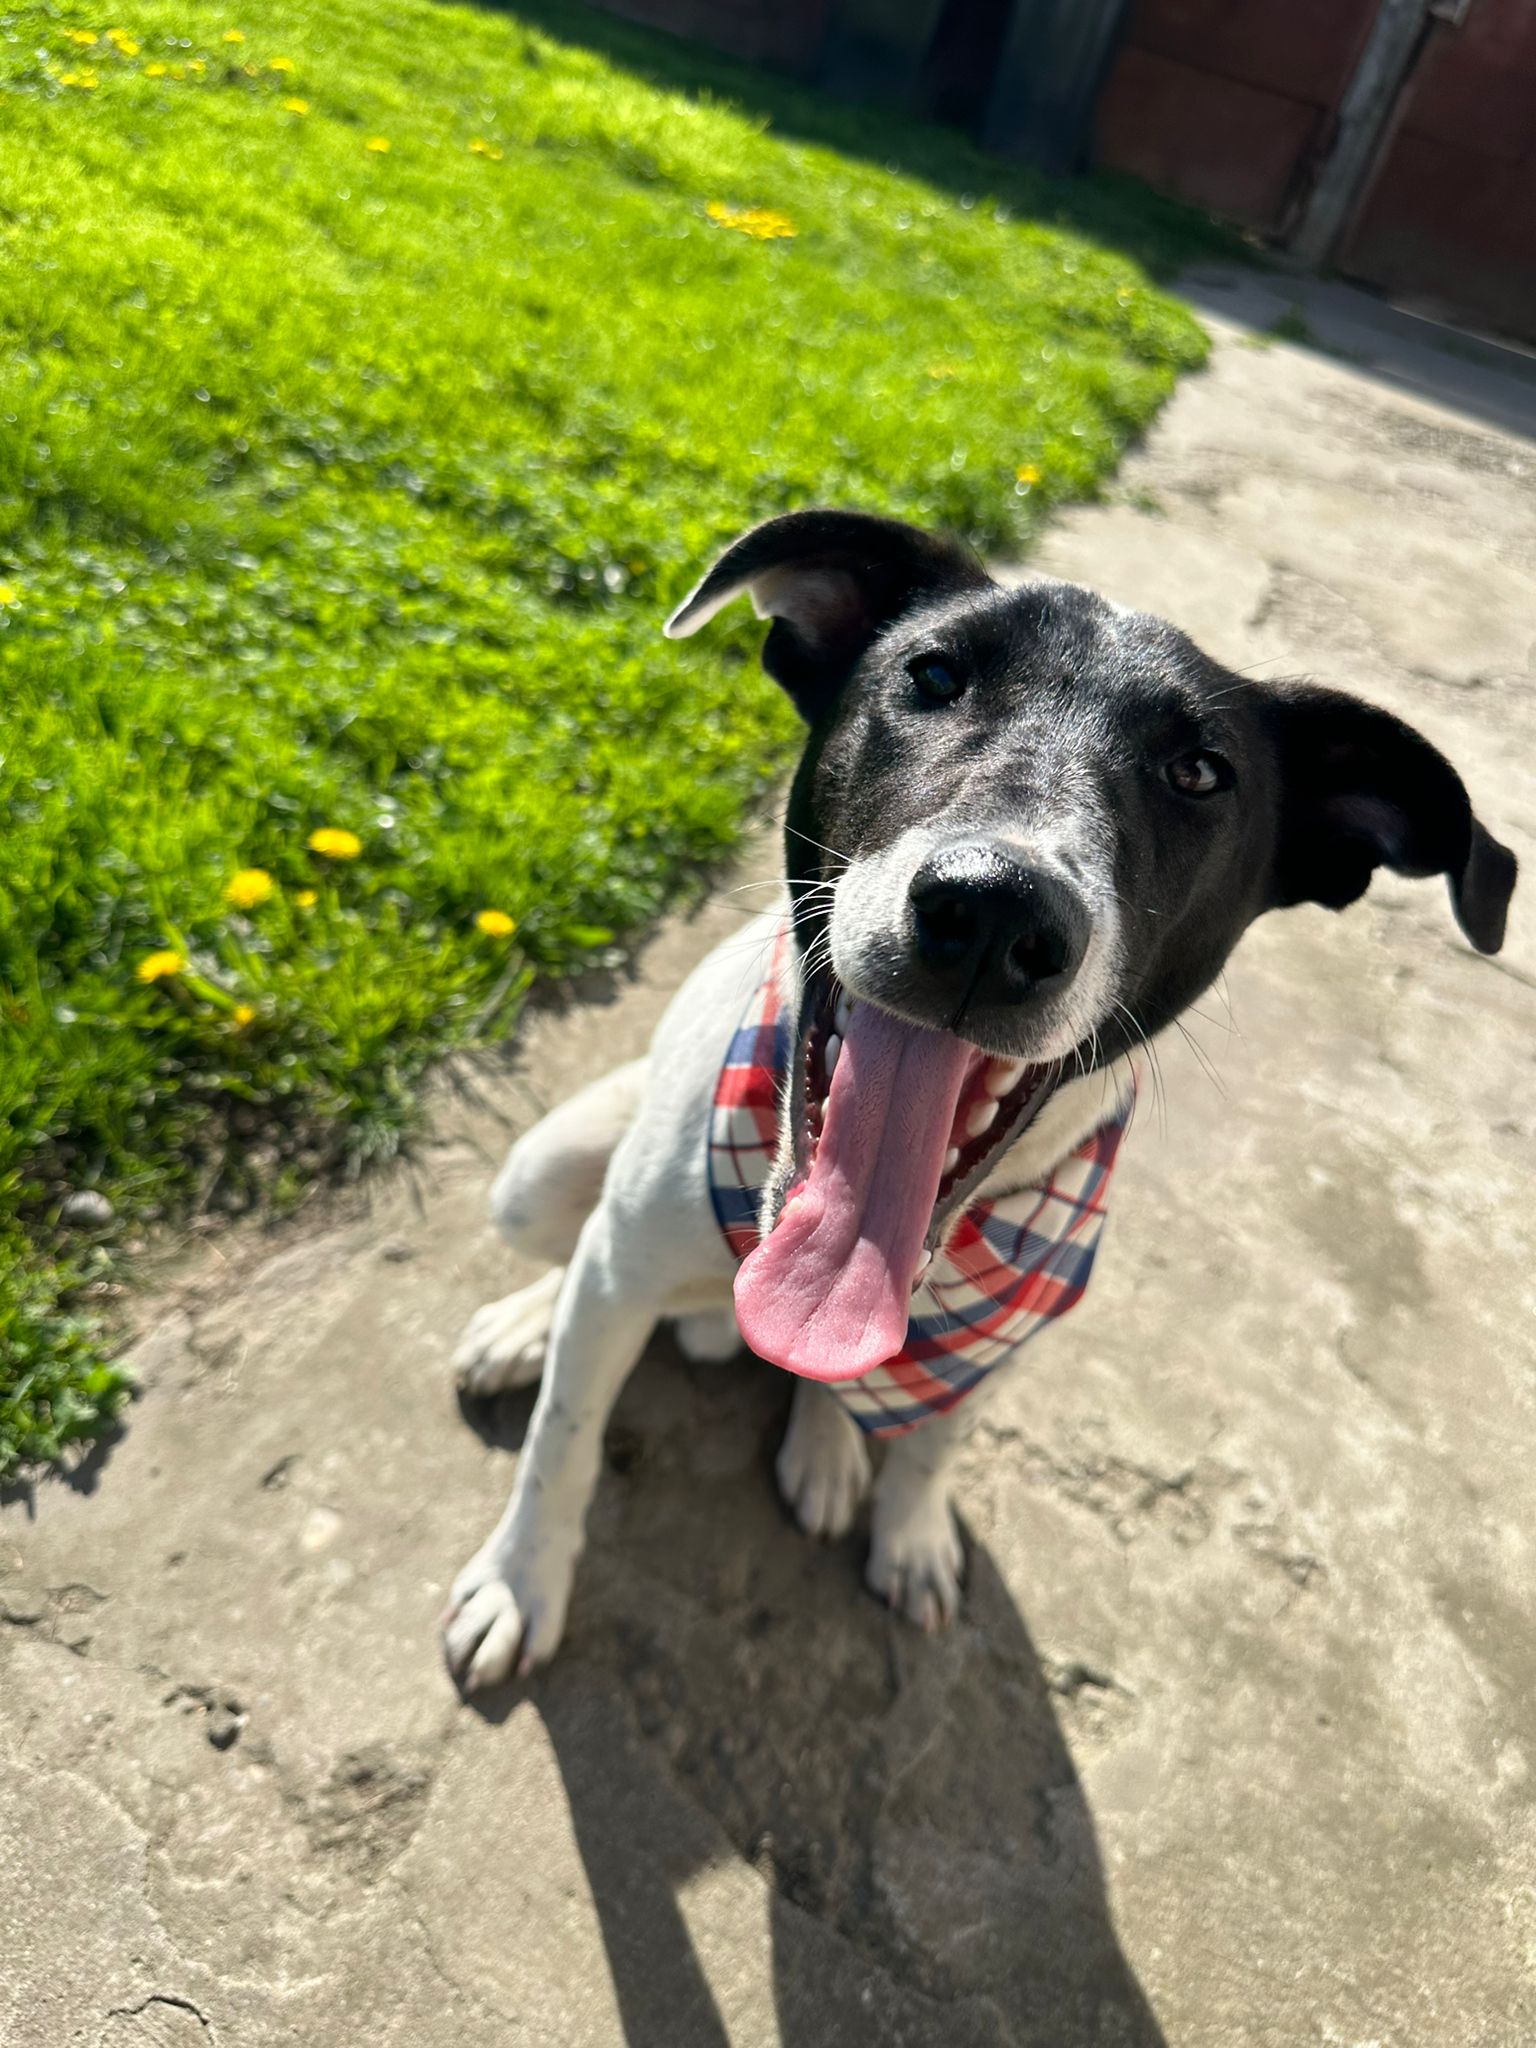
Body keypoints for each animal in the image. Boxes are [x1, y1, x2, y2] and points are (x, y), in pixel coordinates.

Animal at [442, 508, 1516, 1692]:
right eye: (933, 674)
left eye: (1200, 772)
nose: (996, 911)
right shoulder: (619, 1279)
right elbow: (564, 1441)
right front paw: (520, 1581)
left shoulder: (1007, 1343)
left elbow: (930, 1446)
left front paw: (908, 1533)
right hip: (538, 1176)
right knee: (579, 1260)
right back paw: (526, 1325)